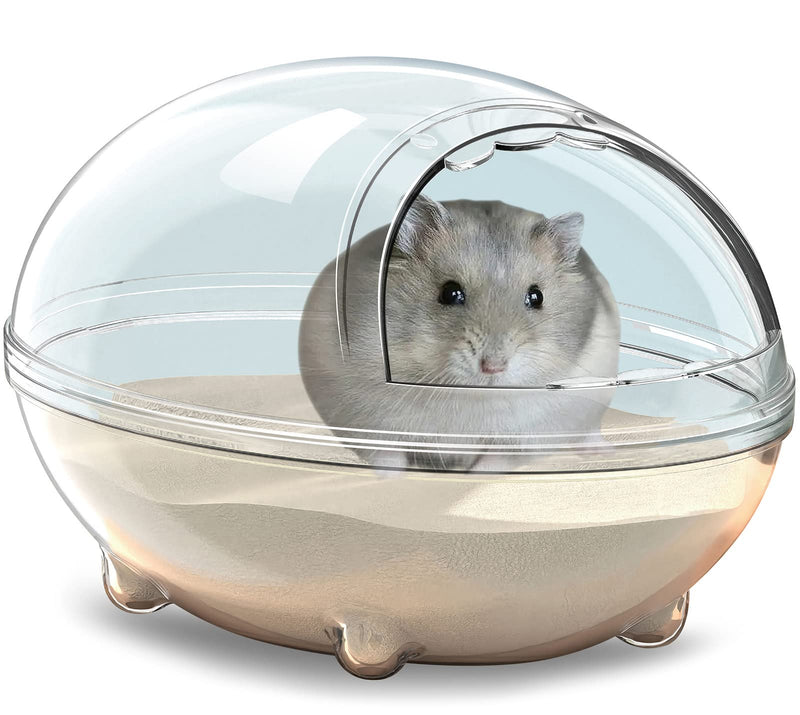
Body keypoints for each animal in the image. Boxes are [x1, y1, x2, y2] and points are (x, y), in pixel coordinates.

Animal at [299, 196, 620, 471]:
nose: (493, 367)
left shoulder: (527, 439)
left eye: (537, 296)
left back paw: (606, 452)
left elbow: (493, 463)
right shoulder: (364, 422)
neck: (473, 395)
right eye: (450, 293)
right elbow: (386, 458)